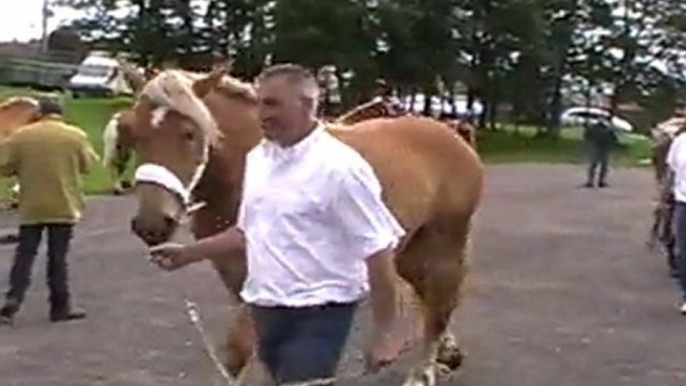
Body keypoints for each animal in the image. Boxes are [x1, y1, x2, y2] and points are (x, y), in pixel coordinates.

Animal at [126, 68, 486, 384]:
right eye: (135, 134)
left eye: (189, 134)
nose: (151, 225)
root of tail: (452, 133)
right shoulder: (237, 277)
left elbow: (242, 350)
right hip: (409, 248)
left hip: (444, 241)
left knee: (440, 304)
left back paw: (422, 373)